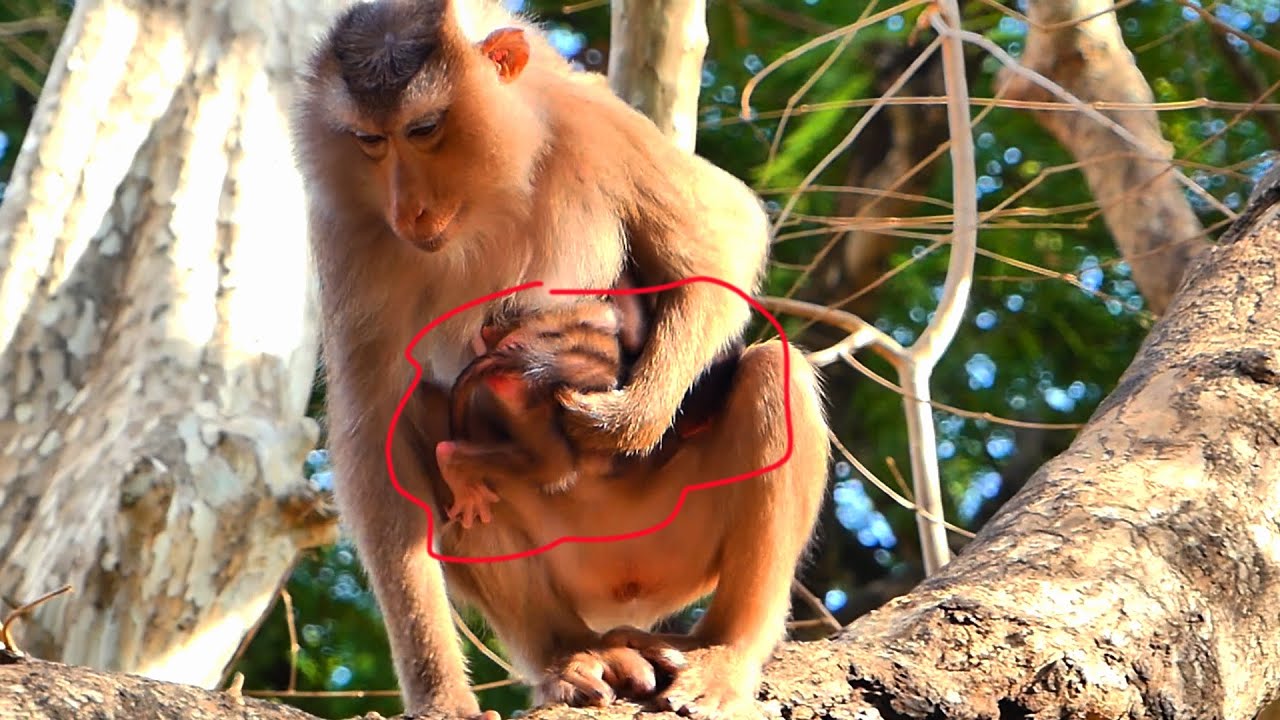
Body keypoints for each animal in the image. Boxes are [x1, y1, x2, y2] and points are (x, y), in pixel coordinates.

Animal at [290, 0, 831, 718]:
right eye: (370, 142)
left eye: (424, 129)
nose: (410, 208)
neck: (486, 195)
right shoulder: (351, 232)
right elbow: (372, 432)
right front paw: (439, 695)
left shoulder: (598, 126)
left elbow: (726, 237)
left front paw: (630, 417)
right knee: (423, 423)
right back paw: (568, 651)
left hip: (675, 538)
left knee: (775, 372)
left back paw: (724, 651)